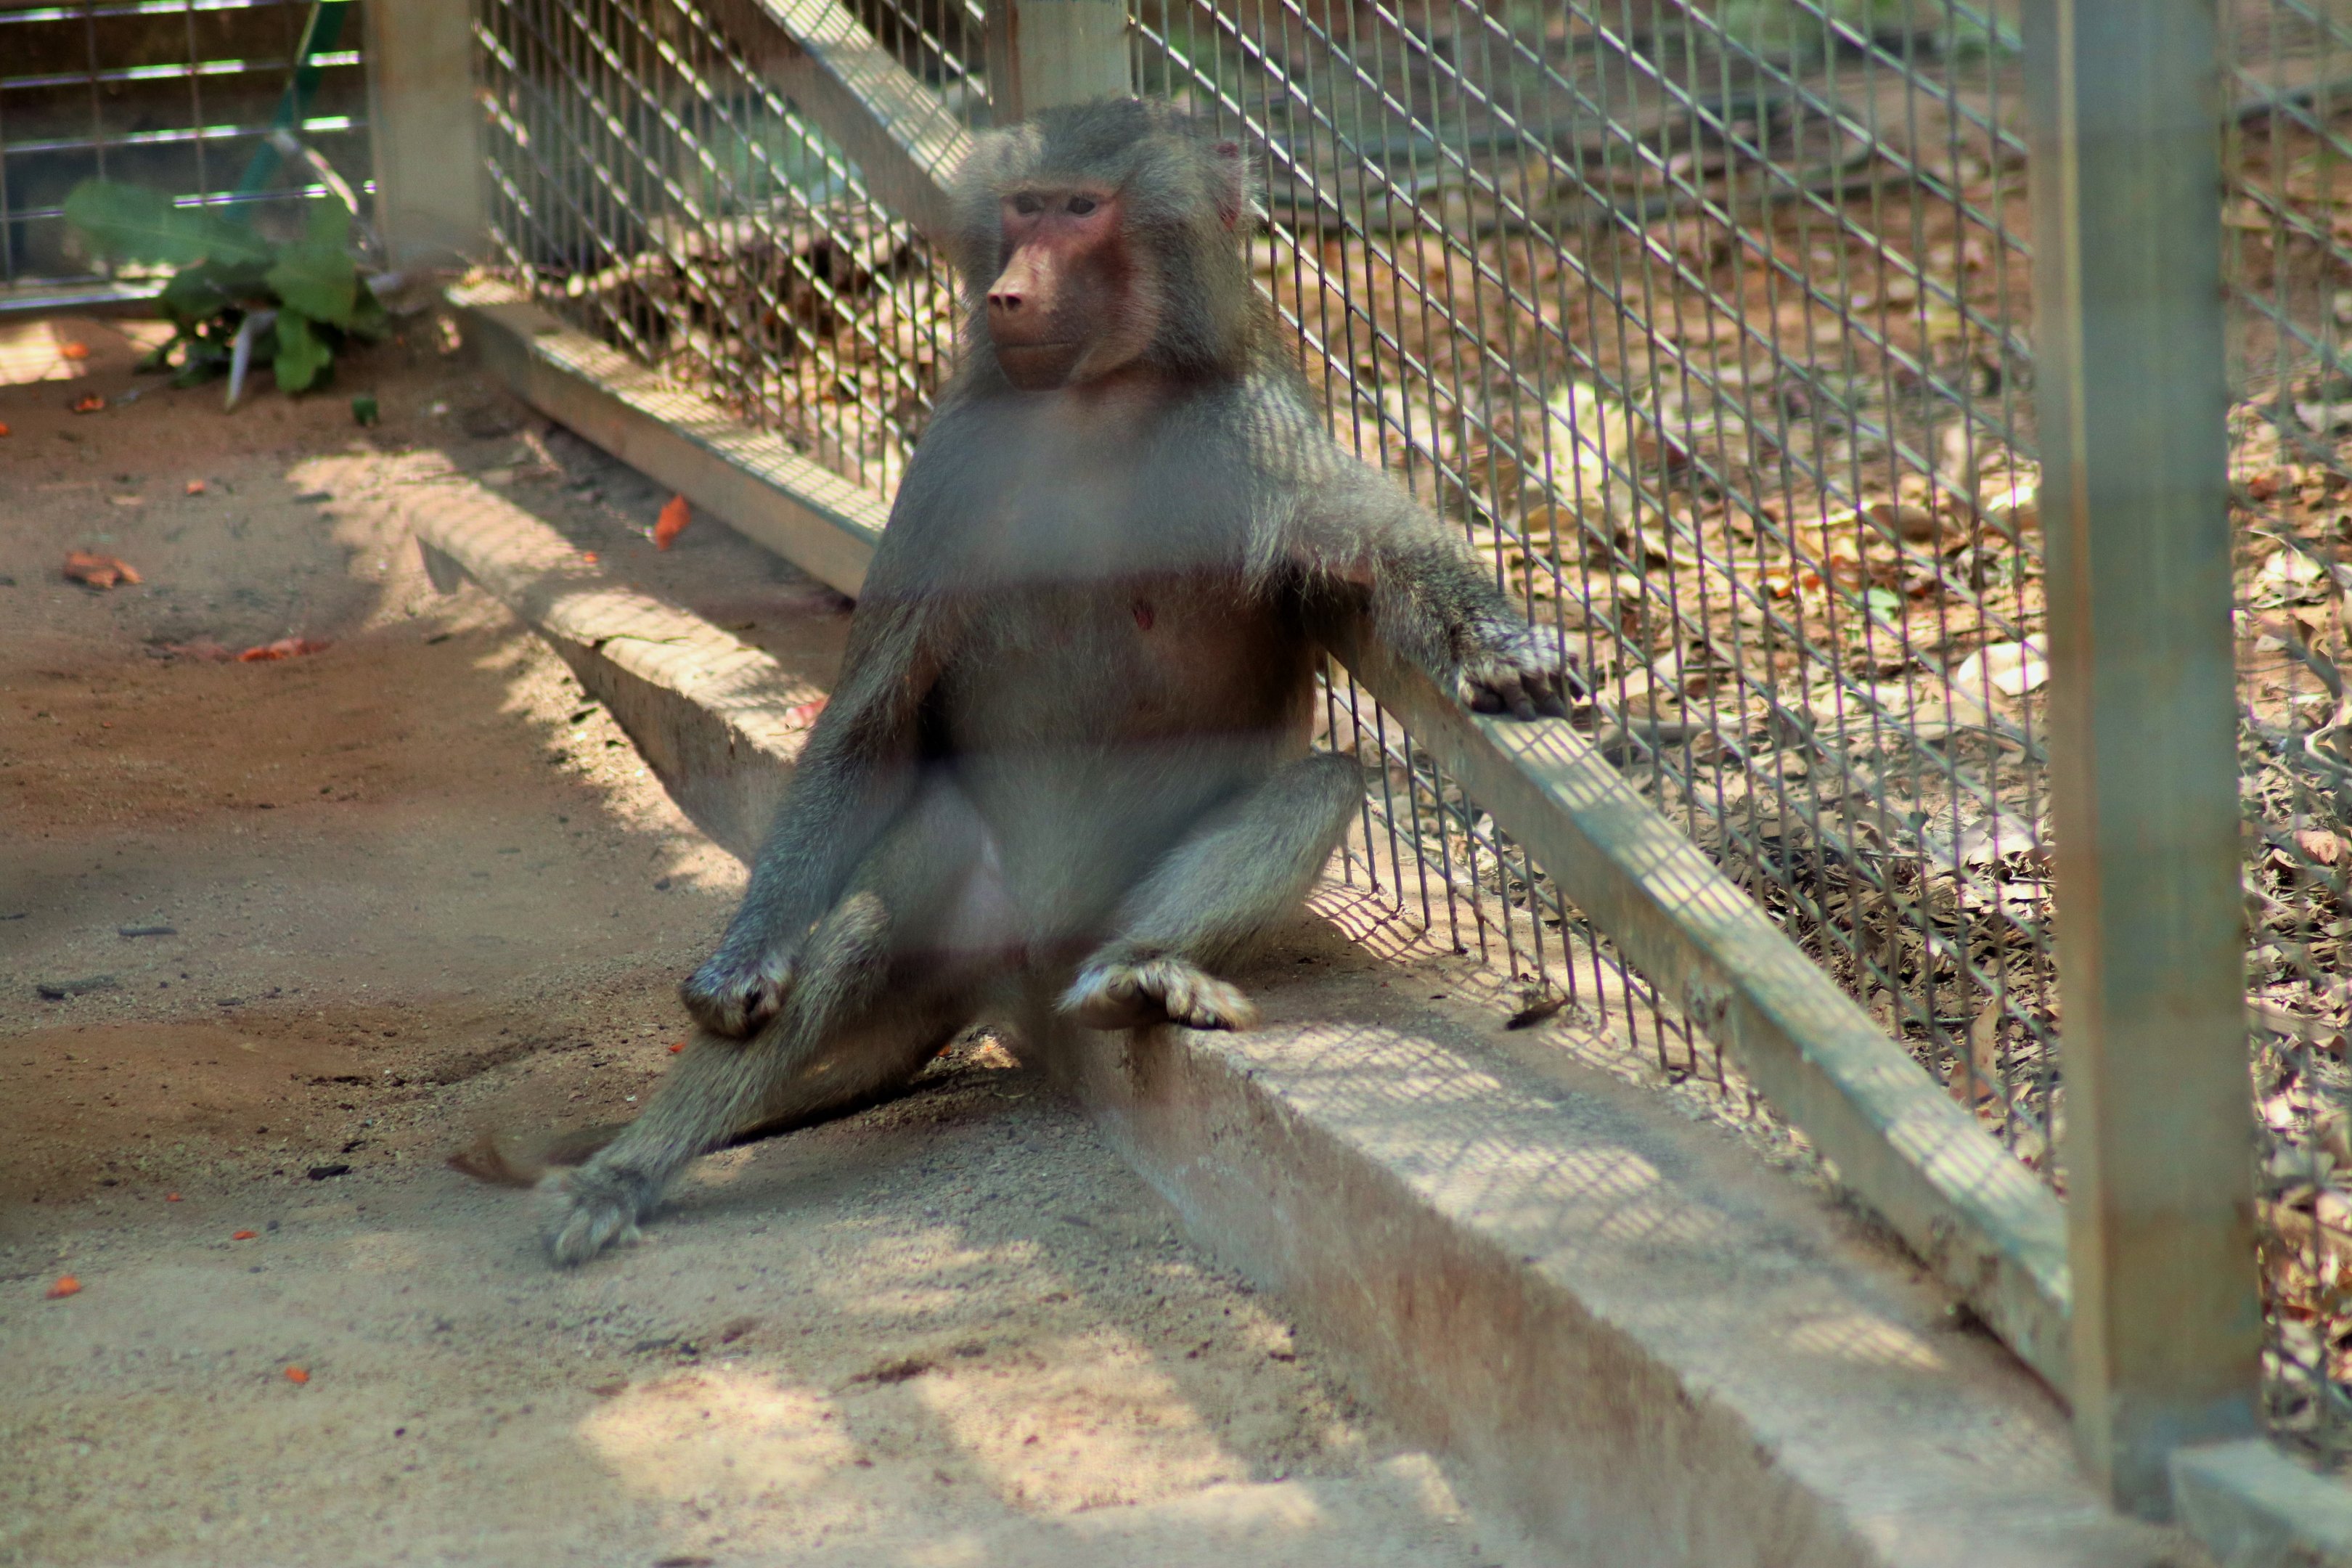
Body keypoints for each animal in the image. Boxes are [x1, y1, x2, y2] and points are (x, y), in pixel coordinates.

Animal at [527, 98, 1569, 1265]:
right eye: (1025, 208)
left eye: (1081, 209)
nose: (1008, 293)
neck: (1097, 404)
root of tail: (1025, 962)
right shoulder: (952, 466)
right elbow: (868, 720)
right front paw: (742, 961)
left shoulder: (1249, 427)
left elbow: (1374, 553)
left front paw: (1497, 645)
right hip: (974, 905)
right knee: (876, 908)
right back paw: (623, 1174)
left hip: (1109, 911)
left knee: (1320, 787)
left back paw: (1141, 971)